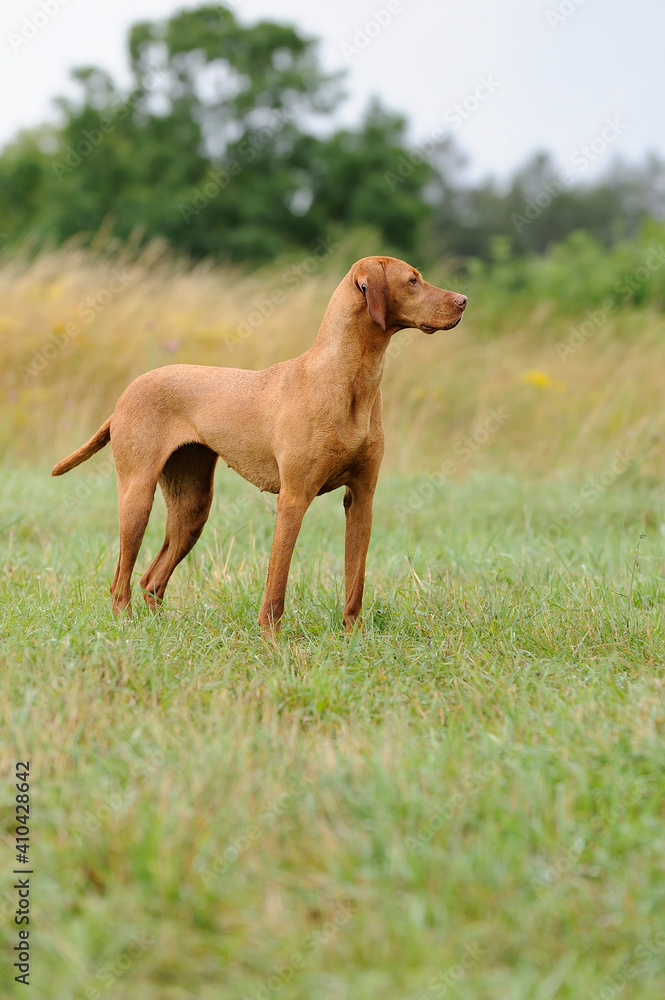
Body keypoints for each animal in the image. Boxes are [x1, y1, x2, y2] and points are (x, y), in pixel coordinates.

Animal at [52, 258, 466, 632]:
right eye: (412, 280)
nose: (463, 300)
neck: (350, 382)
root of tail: (126, 394)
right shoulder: (294, 498)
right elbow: (276, 583)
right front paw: (271, 639)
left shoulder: (361, 499)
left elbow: (355, 582)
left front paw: (354, 638)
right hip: (137, 498)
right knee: (120, 581)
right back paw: (125, 628)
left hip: (192, 509)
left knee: (151, 579)